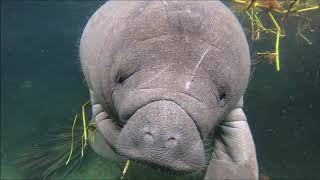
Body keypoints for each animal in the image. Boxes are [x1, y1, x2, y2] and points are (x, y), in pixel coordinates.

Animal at [79, 1, 258, 179]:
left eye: (222, 96)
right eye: (120, 79)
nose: (161, 137)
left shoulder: (235, 106)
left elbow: (237, 156)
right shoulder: (98, 90)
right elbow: (106, 127)